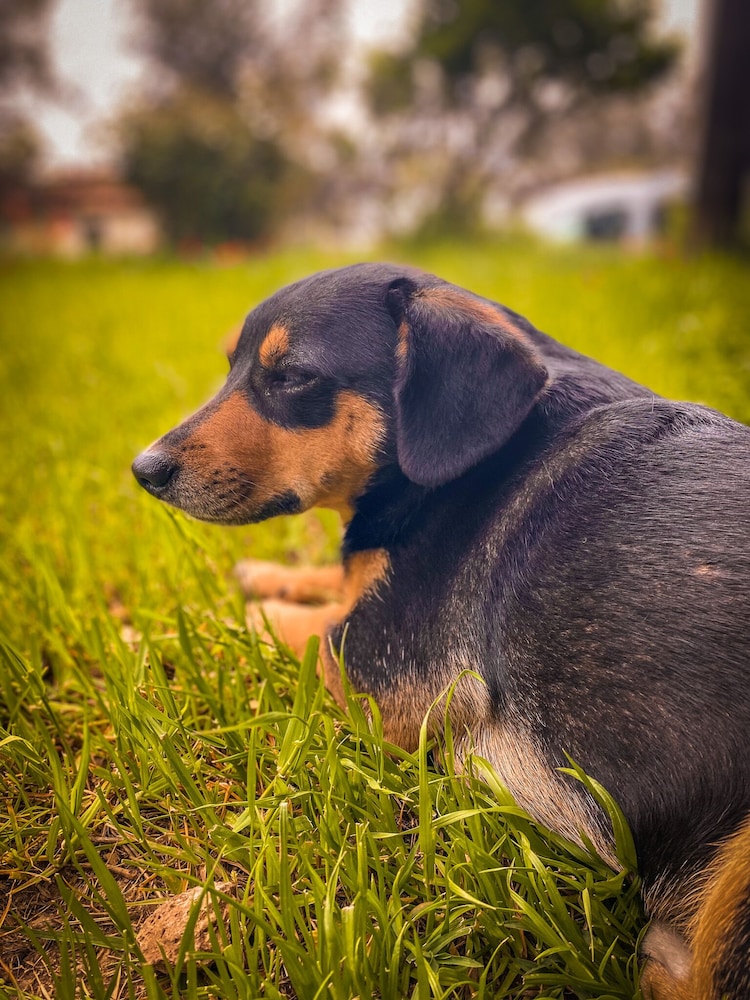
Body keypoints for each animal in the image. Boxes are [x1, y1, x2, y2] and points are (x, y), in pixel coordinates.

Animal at [133, 263, 750, 998]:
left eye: (294, 376)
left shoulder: (381, 669)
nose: (143, 469)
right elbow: (333, 578)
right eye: (233, 365)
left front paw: (184, 625)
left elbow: (289, 624)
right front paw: (264, 574)